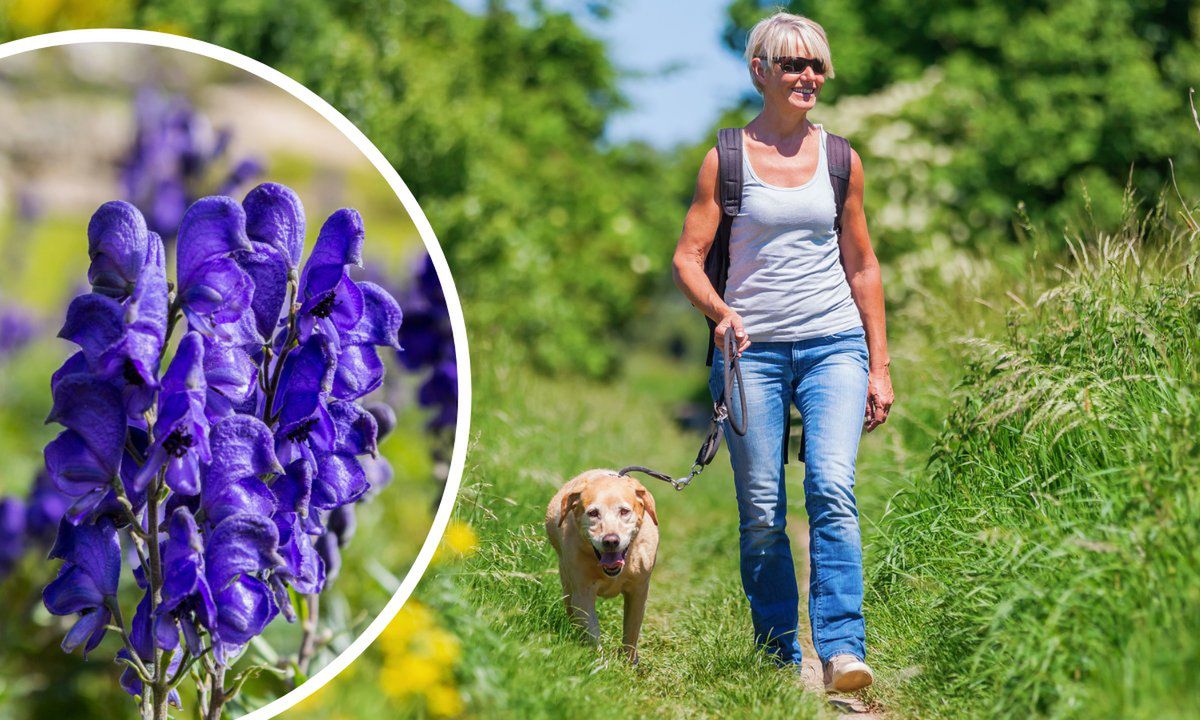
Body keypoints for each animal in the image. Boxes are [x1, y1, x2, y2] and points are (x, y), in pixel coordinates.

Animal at [549, 468, 662, 662]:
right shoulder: (582, 594)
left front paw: (629, 663)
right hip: (567, 585)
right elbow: (592, 633)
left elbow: (632, 631)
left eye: (624, 511)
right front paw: (599, 663)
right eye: (593, 513)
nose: (610, 540)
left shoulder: (639, 591)